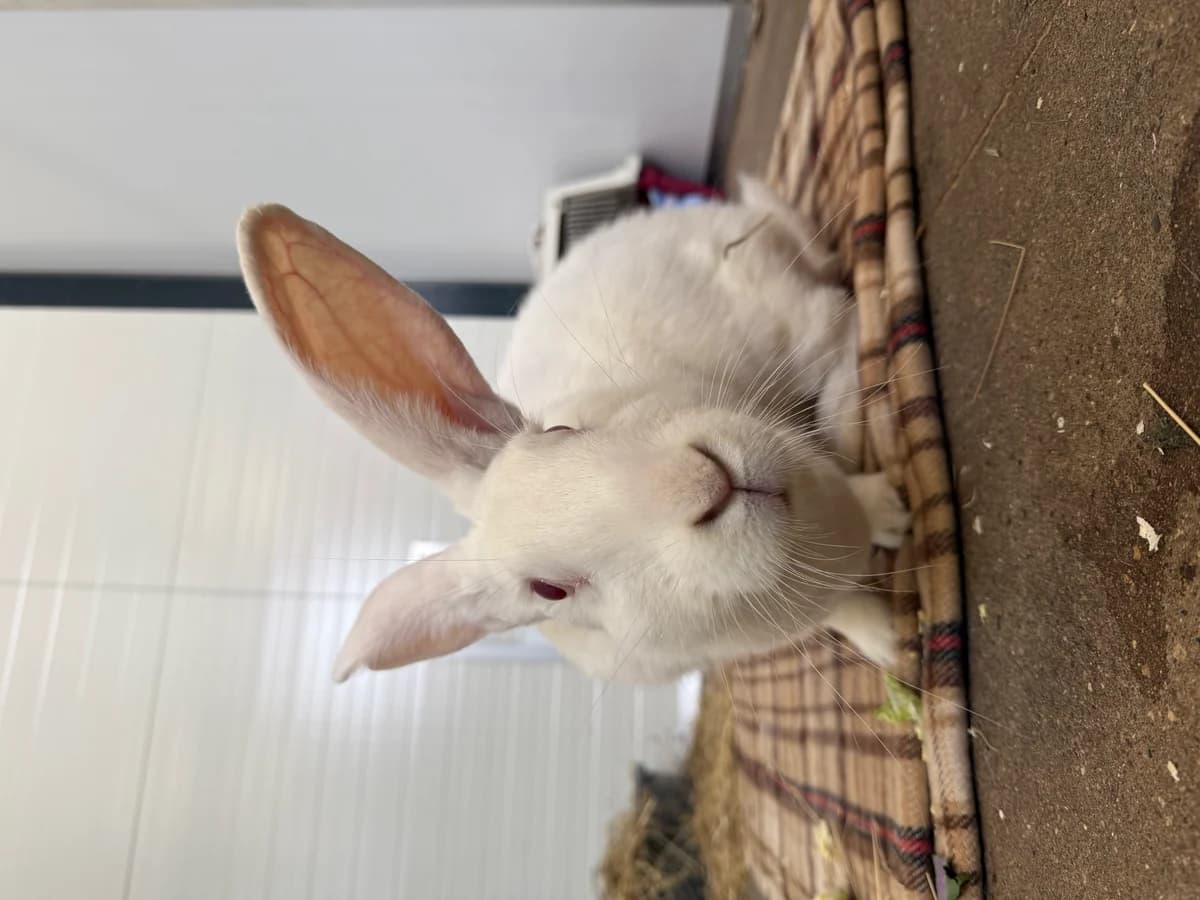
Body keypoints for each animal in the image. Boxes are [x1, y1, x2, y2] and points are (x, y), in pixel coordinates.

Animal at [235, 177, 910, 685]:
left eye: (560, 427)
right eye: (550, 591)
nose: (703, 483)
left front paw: (893, 516)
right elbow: (838, 605)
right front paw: (892, 640)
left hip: (783, 310)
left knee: (840, 326)